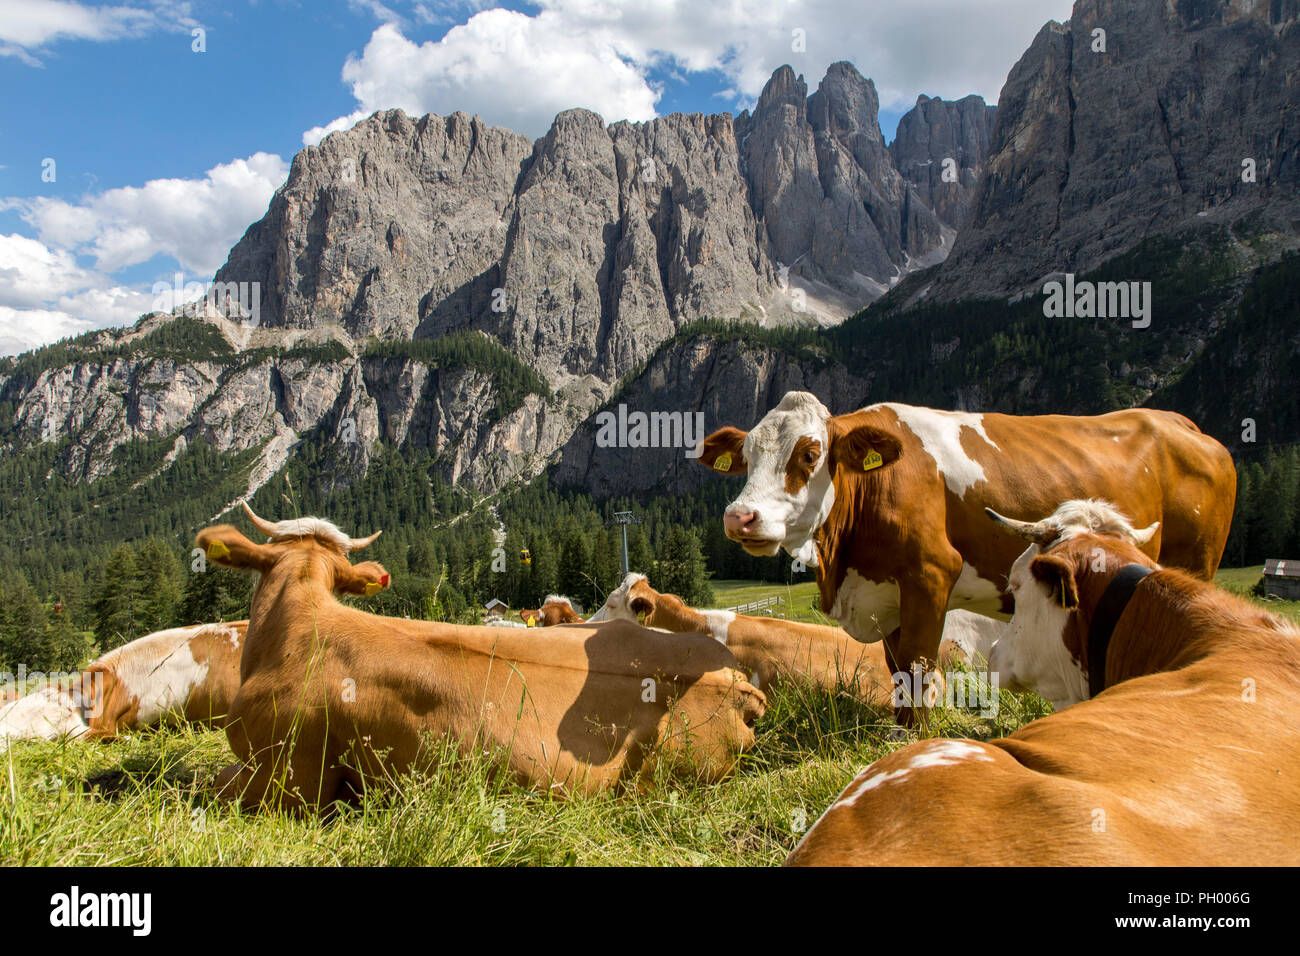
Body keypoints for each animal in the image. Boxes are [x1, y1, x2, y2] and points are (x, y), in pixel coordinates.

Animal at [696, 390, 1232, 717]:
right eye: (747, 457)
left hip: (1196, 563)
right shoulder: (889, 595)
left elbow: (917, 672)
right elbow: (897, 672)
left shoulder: (930, 576)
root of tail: (1180, 422)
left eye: (809, 455)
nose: (739, 518)